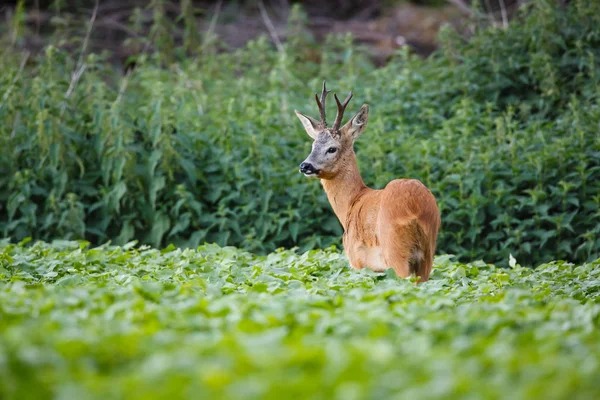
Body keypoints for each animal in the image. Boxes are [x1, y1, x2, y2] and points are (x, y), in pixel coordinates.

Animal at [296, 80, 440, 282]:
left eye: (332, 148)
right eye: (313, 145)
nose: (305, 166)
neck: (353, 201)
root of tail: (415, 207)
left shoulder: (357, 260)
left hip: (395, 250)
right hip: (428, 251)